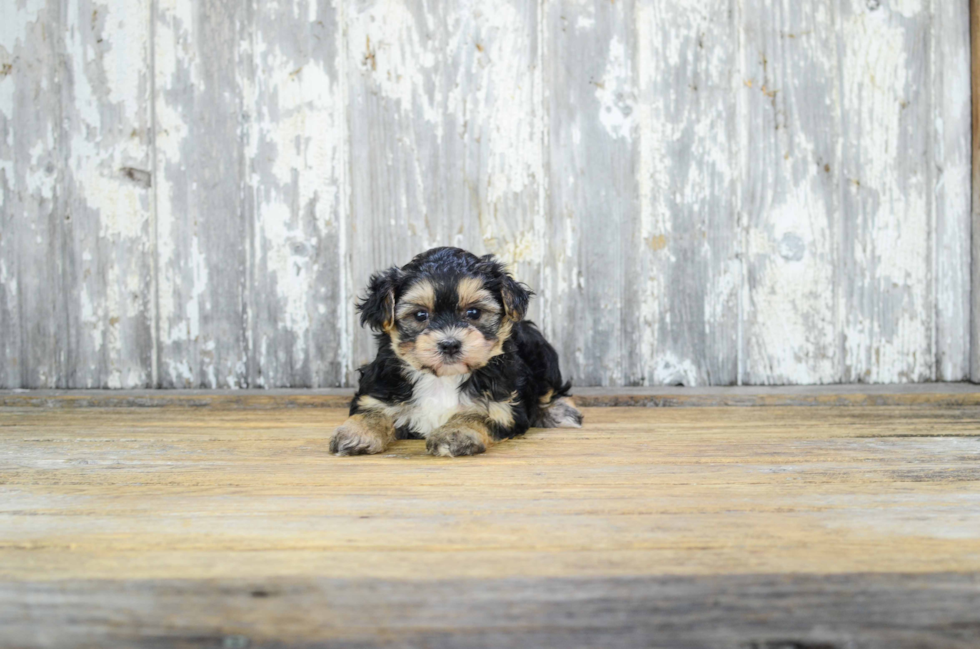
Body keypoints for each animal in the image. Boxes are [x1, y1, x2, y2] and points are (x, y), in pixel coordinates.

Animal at [332, 247, 580, 456]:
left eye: (473, 313)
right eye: (420, 315)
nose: (450, 344)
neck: (441, 379)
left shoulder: (503, 406)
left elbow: (477, 415)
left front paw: (454, 433)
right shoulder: (378, 391)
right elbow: (371, 411)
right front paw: (355, 433)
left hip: (542, 355)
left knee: (551, 390)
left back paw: (560, 413)